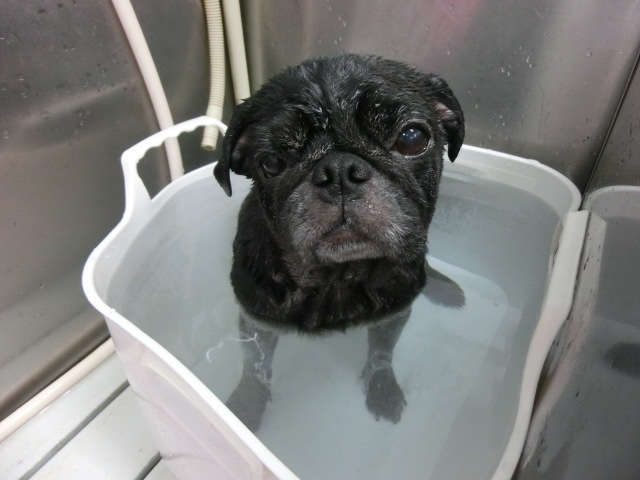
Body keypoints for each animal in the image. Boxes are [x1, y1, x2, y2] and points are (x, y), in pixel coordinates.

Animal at [213, 53, 465, 432]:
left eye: (411, 138)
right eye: (271, 162)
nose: (339, 169)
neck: (339, 278)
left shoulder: (393, 314)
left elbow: (381, 353)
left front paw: (383, 388)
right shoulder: (257, 323)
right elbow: (254, 368)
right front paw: (244, 406)